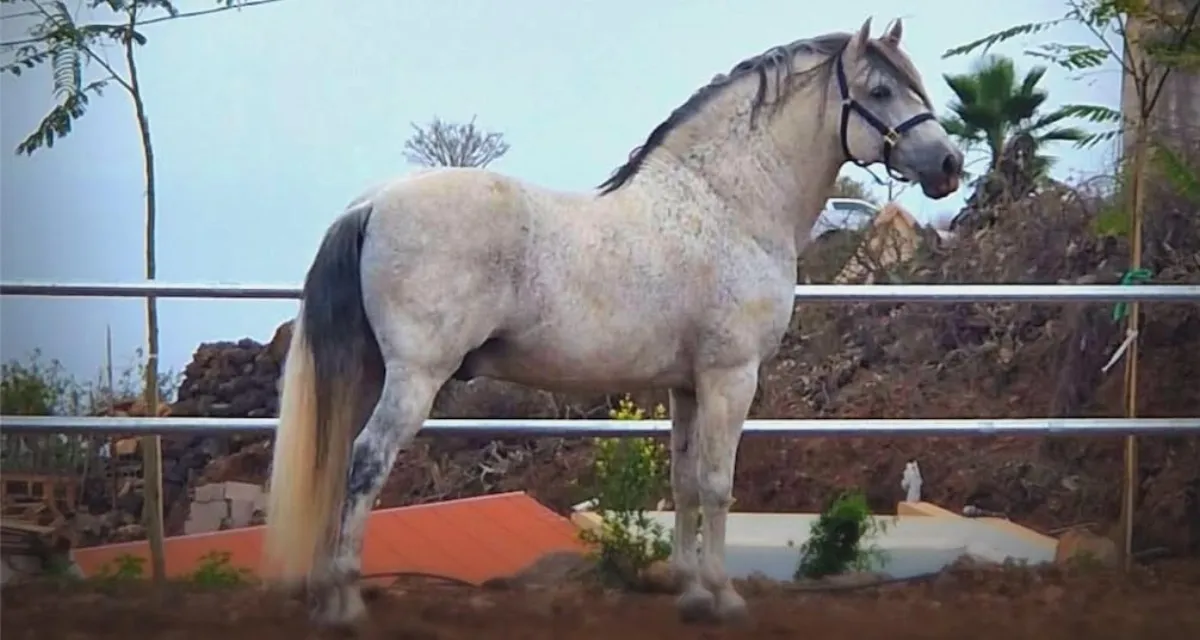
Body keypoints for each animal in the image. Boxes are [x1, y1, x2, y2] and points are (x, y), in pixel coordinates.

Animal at [264, 17, 963, 628]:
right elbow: (717, 484)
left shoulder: (686, 386)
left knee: (337, 462)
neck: (725, 202)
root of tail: (372, 202)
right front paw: (725, 598)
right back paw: (345, 605)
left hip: (369, 374)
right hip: (414, 378)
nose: (950, 165)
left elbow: (684, 483)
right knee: (366, 463)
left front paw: (691, 595)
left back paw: (325, 596)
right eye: (880, 91)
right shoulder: (731, 377)